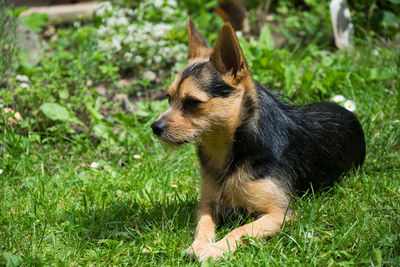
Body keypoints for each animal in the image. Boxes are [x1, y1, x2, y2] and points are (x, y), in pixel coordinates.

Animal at [150, 17, 366, 262]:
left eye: (192, 102)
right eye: (169, 98)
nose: (155, 127)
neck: (230, 151)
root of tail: (346, 109)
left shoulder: (280, 214)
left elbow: (242, 229)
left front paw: (215, 249)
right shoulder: (207, 205)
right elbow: (202, 225)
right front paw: (199, 245)